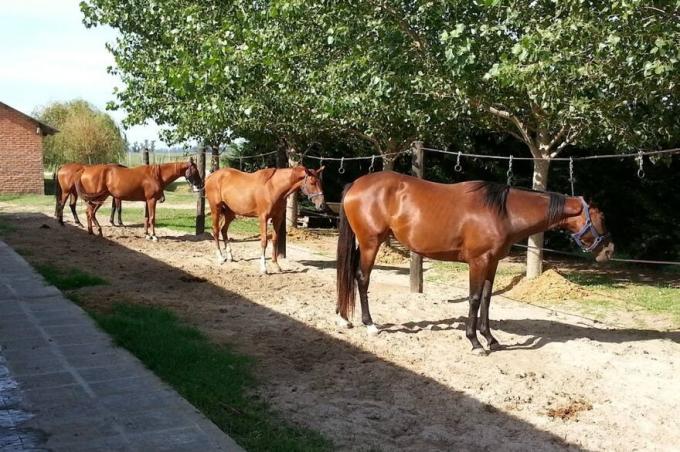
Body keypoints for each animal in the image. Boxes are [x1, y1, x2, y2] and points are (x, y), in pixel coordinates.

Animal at [338, 171, 612, 354]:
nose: (609, 250)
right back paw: (370, 324)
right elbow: (474, 298)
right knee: (362, 278)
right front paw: (475, 342)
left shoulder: (492, 262)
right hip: (370, 243)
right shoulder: (478, 262)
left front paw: (490, 338)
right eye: (601, 217)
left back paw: (344, 317)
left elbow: (488, 299)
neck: (504, 212)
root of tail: (356, 184)